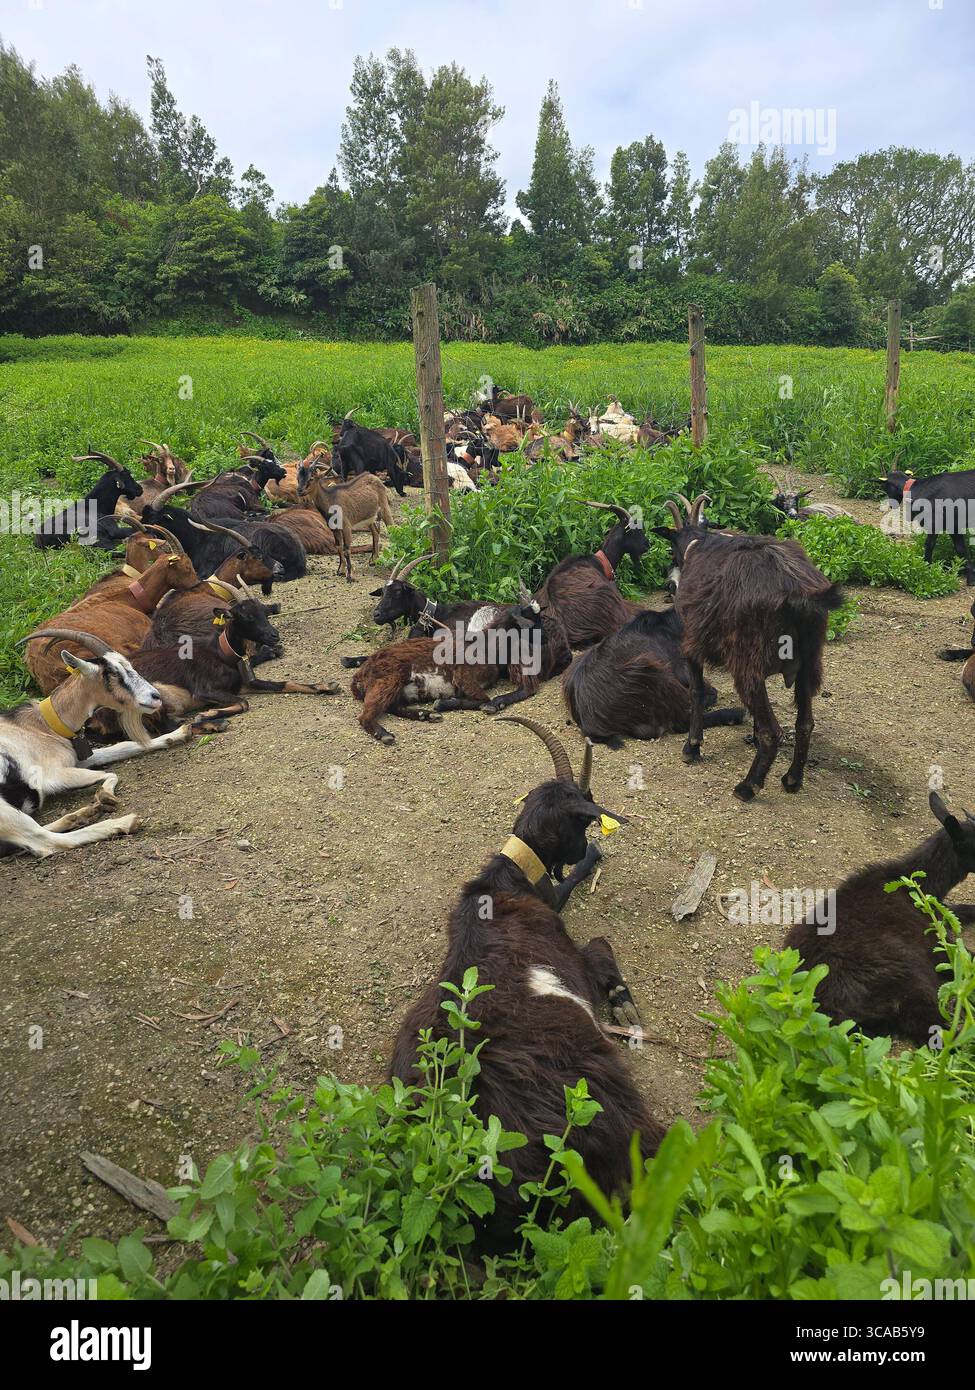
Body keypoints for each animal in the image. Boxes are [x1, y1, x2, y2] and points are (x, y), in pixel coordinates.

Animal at [1, 634, 208, 857]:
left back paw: (81, 814)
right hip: (6, 812)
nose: (156, 697)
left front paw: (178, 735)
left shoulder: (79, 759)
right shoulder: (53, 775)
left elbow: (122, 747)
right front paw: (106, 797)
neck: (43, 725)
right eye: (113, 673)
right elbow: (110, 773)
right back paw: (123, 822)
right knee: (45, 841)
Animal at [389, 716, 663, 1252]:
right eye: (584, 817)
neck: (504, 883)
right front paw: (623, 1003)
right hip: (619, 1113)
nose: (581, 847)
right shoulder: (575, 955)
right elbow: (600, 944)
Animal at [654, 494, 843, 800]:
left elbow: (697, 692)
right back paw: (792, 779)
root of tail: (797, 590)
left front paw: (692, 747)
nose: (670, 583)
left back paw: (748, 786)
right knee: (805, 723)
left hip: (746, 664)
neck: (697, 543)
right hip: (810, 664)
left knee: (772, 730)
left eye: (671, 547)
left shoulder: (692, 643)